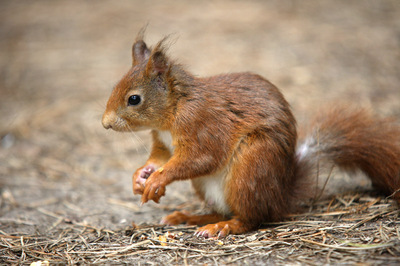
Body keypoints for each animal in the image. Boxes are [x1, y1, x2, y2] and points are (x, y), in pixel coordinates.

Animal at [102, 32, 400, 238]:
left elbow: (200, 159)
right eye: (114, 87)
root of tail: (280, 196)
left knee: (250, 218)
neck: (175, 109)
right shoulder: (163, 142)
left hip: (250, 168)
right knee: (222, 209)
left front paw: (157, 180)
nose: (105, 124)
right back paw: (190, 217)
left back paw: (221, 226)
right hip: (212, 186)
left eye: (134, 99)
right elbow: (159, 158)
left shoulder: (203, 126)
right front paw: (140, 176)